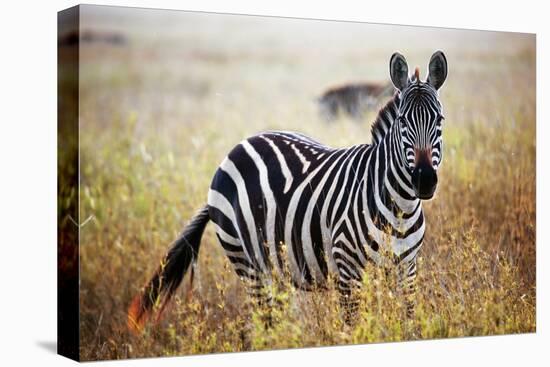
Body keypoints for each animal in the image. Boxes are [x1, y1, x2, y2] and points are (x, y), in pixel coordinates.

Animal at [128, 51, 448, 330]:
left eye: (440, 120)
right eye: (403, 121)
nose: (424, 180)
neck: (400, 207)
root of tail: (239, 146)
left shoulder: (407, 269)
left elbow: (407, 322)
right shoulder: (348, 269)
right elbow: (353, 327)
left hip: (276, 266)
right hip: (247, 263)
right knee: (264, 324)